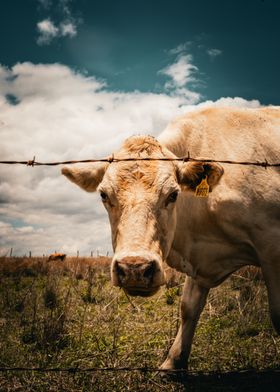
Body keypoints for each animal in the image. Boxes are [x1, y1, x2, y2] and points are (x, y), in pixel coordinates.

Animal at [61, 105, 280, 370]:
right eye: (103, 194)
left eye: (173, 194)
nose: (134, 268)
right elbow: (188, 308)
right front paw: (173, 362)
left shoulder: (271, 246)